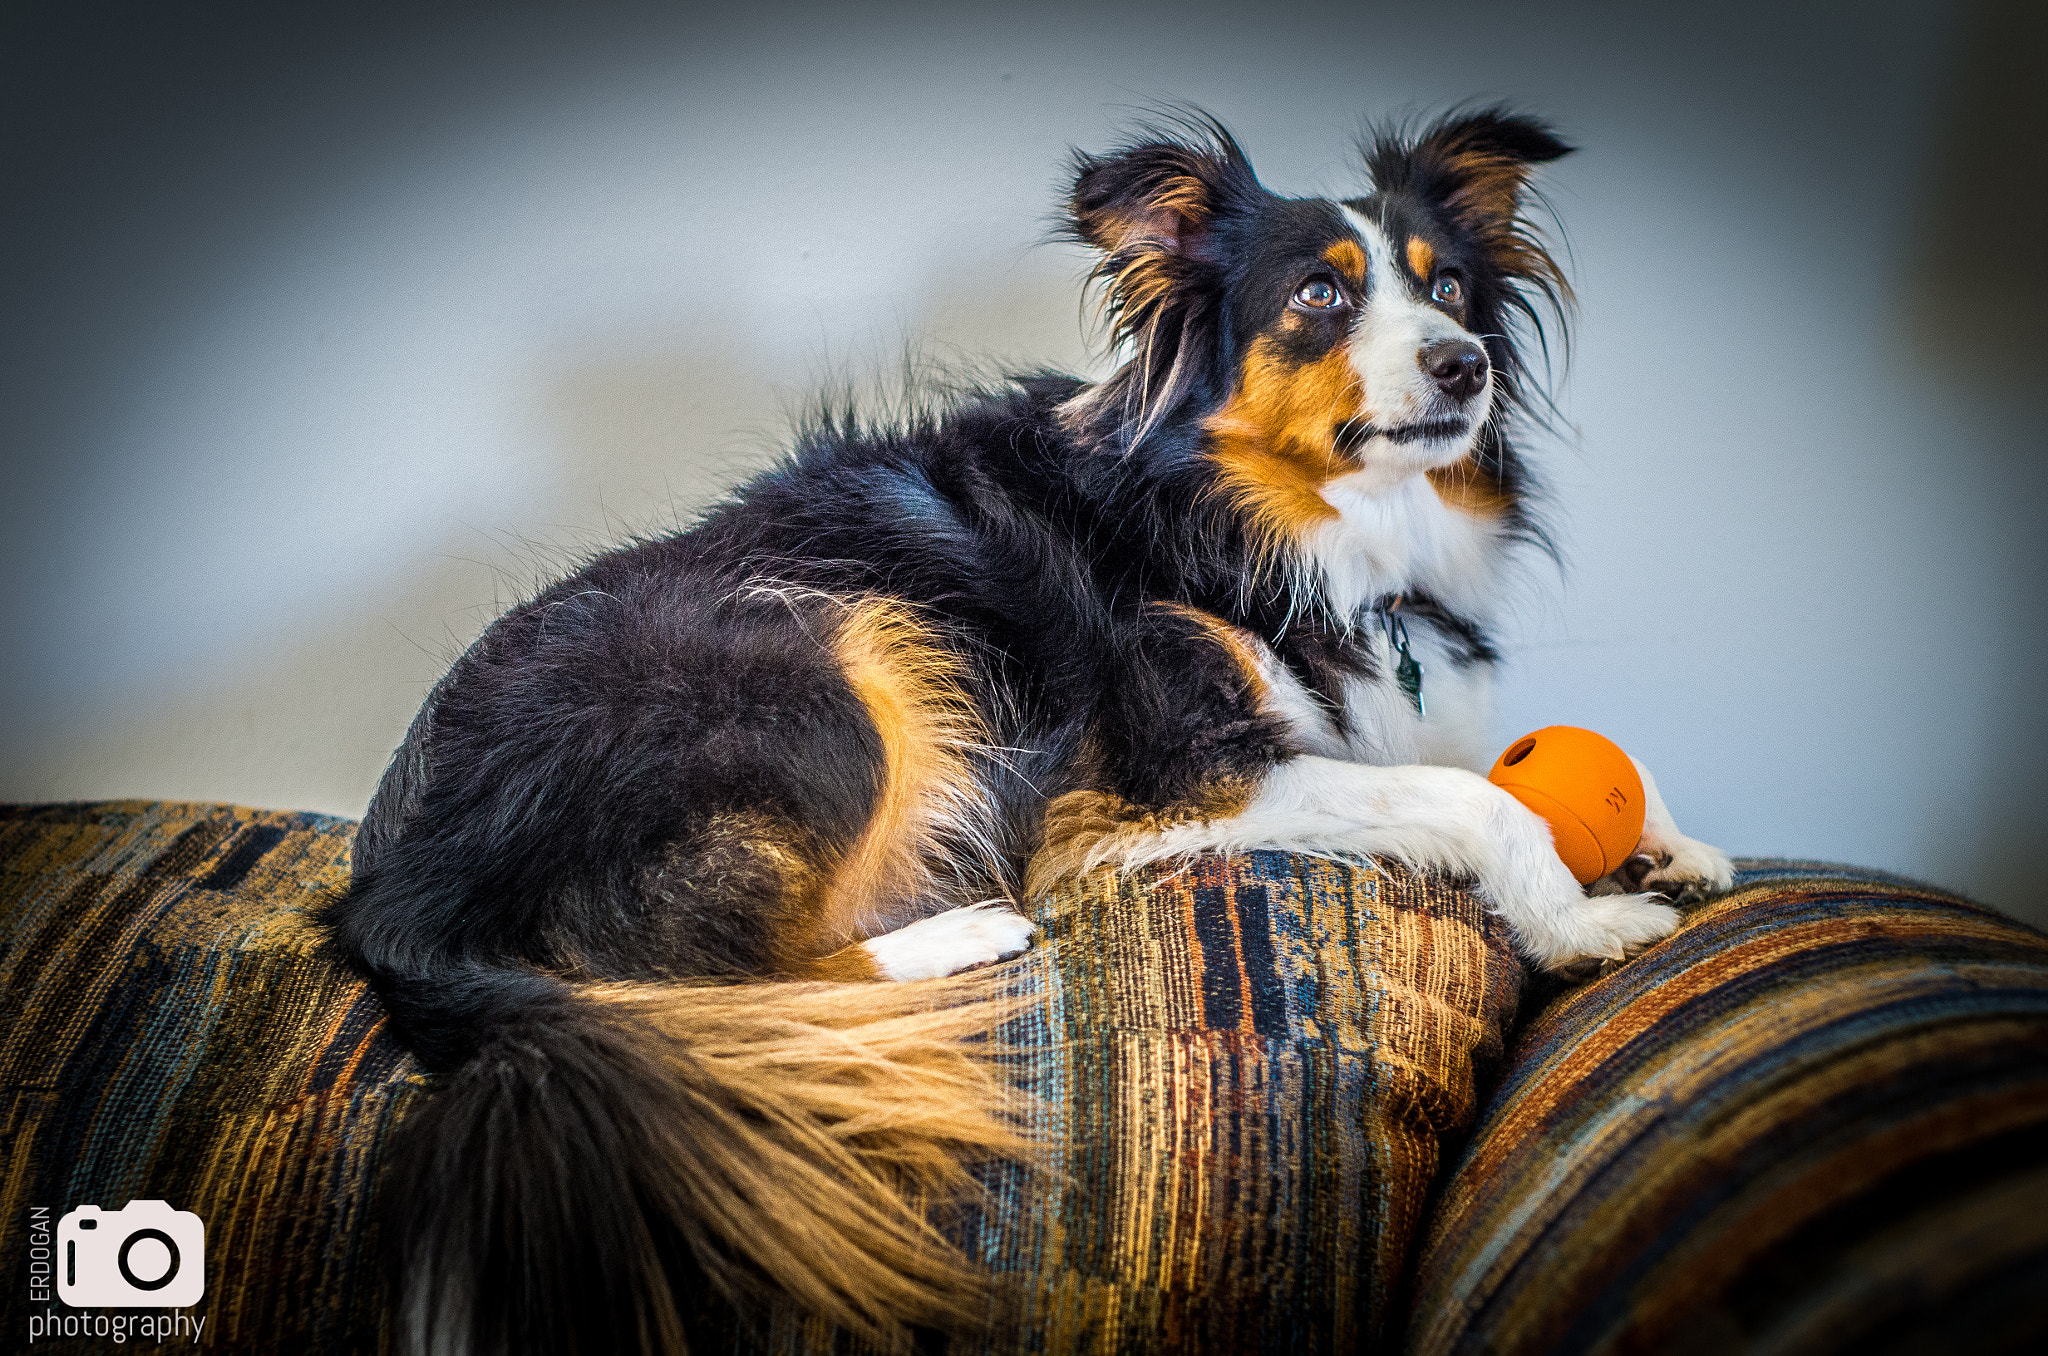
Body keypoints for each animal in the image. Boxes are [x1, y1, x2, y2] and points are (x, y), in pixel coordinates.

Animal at [323, 109, 1728, 1356]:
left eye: (1447, 288)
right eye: (1319, 297)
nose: (1460, 364)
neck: (1265, 518)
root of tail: (389, 892)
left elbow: (1520, 766)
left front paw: (1674, 847)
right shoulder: (1176, 776)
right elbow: (1474, 800)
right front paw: (1583, 920)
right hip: (822, 654)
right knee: (690, 975)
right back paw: (955, 936)